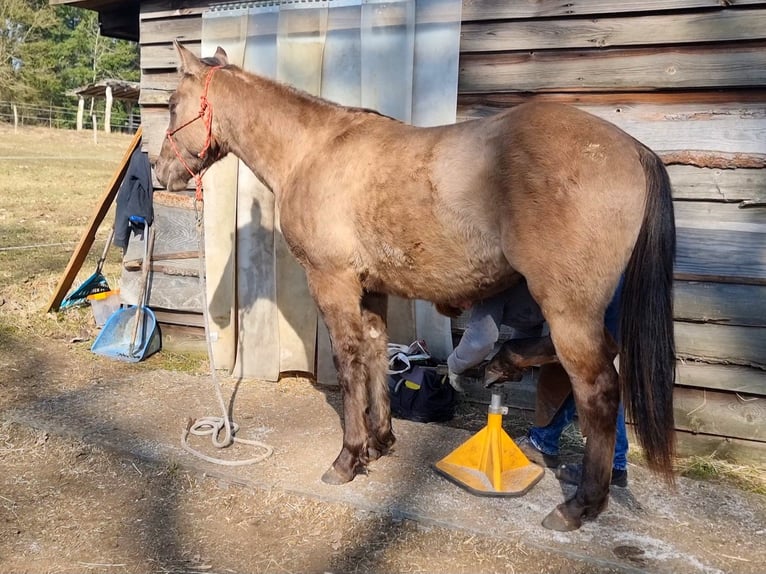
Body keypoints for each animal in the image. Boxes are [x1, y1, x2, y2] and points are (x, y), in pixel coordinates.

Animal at [155, 41, 677, 532]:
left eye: (172, 104)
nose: (162, 172)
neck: (312, 150)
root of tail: (634, 149)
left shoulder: (333, 282)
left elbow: (348, 363)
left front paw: (348, 457)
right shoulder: (372, 289)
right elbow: (375, 353)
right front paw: (380, 441)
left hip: (567, 306)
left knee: (598, 386)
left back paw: (579, 504)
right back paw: (503, 366)